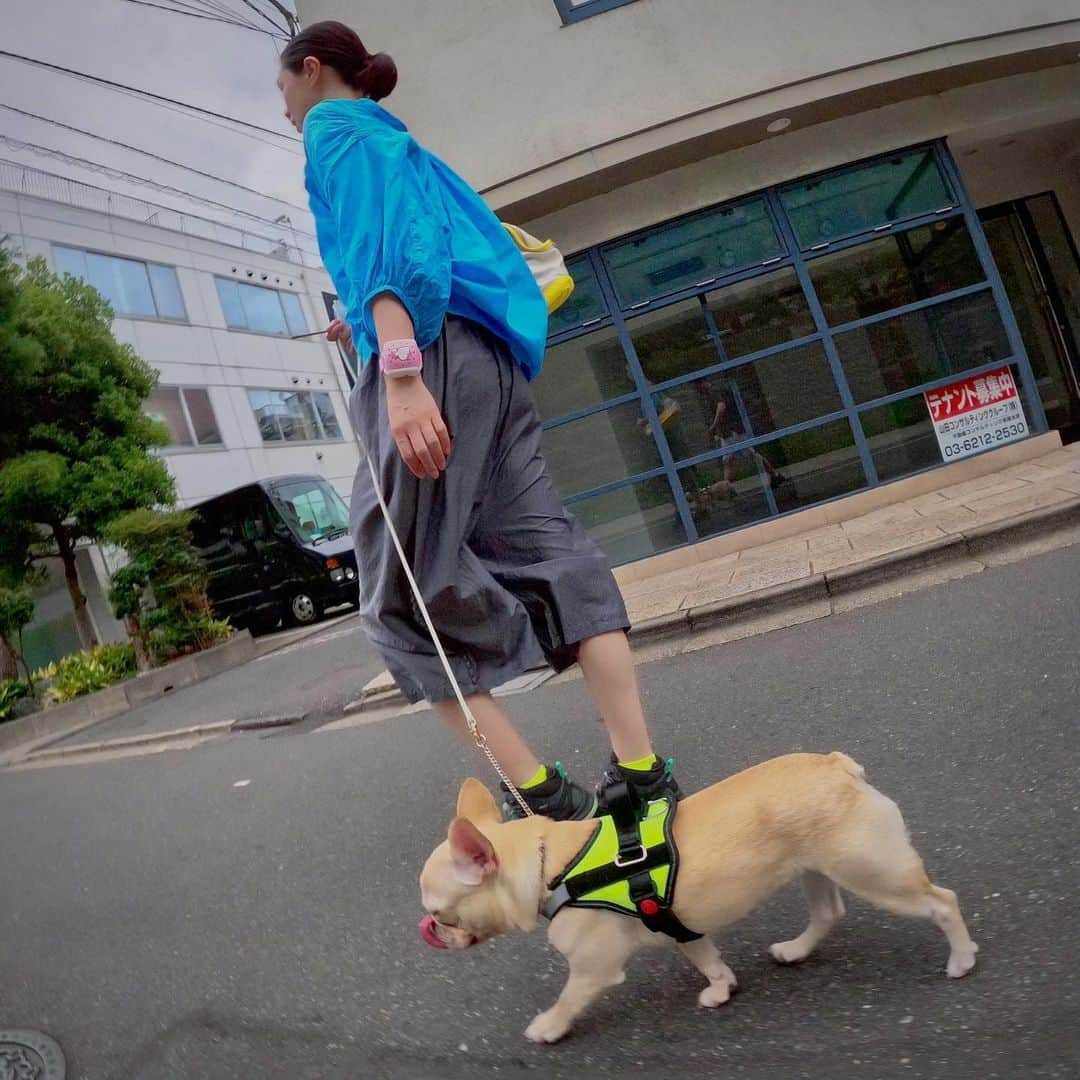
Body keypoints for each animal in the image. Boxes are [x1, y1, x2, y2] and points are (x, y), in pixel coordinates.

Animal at [419, 751, 980, 1045]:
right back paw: (795, 949)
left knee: (942, 901)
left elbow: (569, 997)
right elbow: (706, 958)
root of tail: (837, 766)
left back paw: (961, 958)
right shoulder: (678, 925)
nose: (430, 930)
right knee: (827, 911)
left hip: (874, 872)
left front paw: (549, 1026)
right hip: (814, 867)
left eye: (441, 913)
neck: (548, 867)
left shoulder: (593, 968)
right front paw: (721, 988)